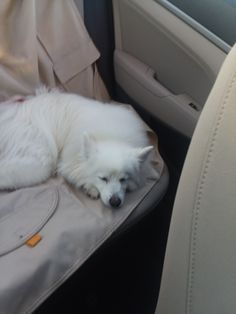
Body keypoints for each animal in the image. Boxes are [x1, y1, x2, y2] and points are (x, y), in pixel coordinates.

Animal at [0, 88, 153, 207]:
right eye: (103, 178)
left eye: (123, 179)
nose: (115, 202)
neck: (112, 137)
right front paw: (90, 188)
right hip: (41, 160)